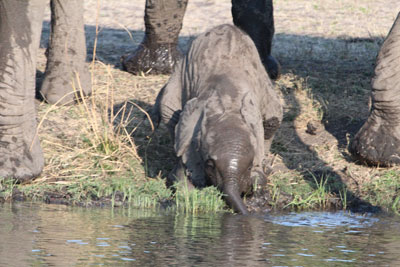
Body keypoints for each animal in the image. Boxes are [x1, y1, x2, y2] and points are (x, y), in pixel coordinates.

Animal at [152, 24, 282, 215]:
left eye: (249, 166)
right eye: (210, 164)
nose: (246, 213)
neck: (229, 102)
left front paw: (259, 186)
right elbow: (183, 176)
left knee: (273, 120)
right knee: (168, 110)